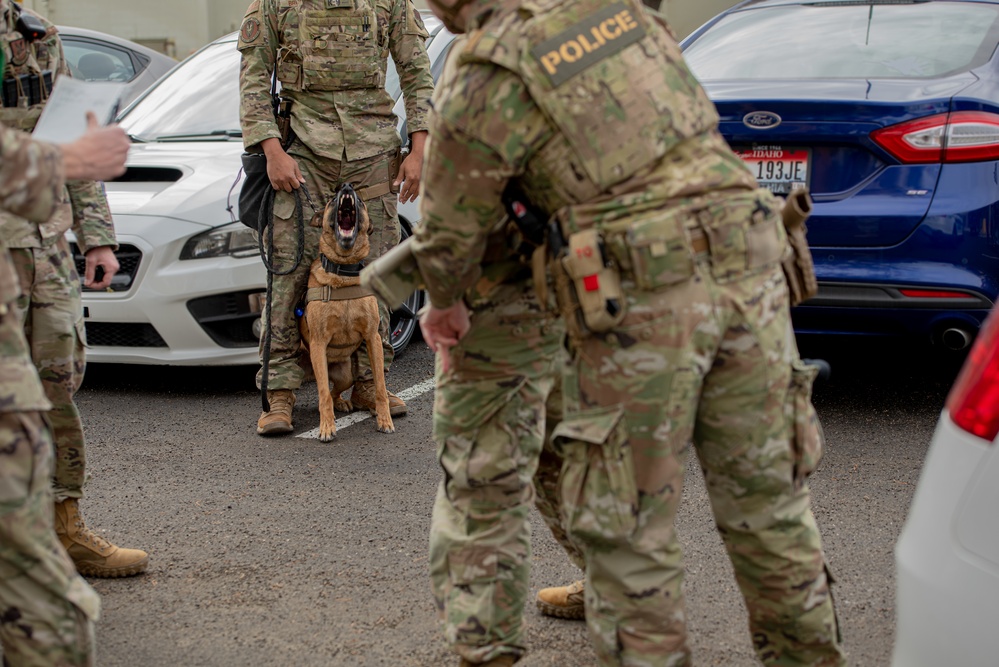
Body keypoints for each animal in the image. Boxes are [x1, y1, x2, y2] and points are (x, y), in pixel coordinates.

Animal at [298, 184, 392, 444]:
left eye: (360, 201)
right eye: (331, 200)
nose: (347, 186)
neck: (344, 271)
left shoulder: (373, 338)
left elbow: (380, 386)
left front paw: (385, 419)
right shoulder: (318, 343)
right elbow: (321, 394)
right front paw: (326, 428)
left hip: (346, 375)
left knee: (334, 390)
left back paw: (342, 402)